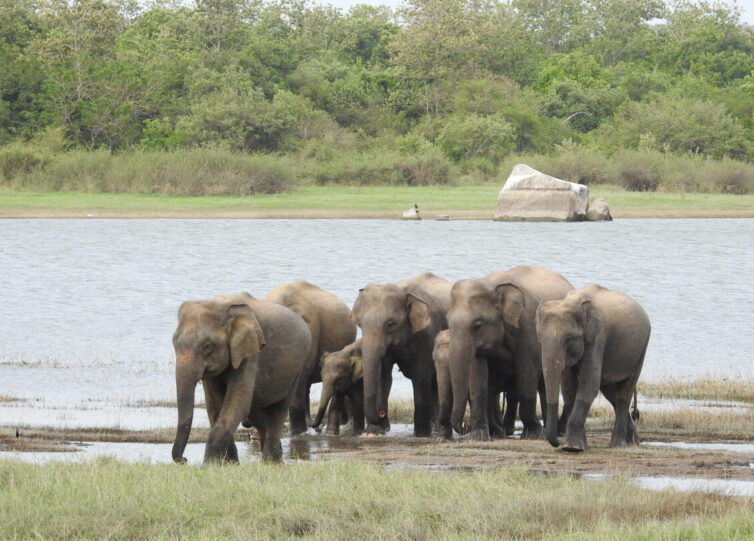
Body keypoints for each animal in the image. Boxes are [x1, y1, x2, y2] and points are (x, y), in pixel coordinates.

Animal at [172, 292, 310, 464]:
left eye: (207, 346)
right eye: (174, 342)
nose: (184, 459)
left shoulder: (250, 353)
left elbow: (237, 404)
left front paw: (209, 465)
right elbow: (216, 406)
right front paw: (229, 464)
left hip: (297, 368)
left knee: (277, 410)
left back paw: (270, 462)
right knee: (257, 413)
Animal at [350, 272, 450, 436]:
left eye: (390, 324)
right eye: (360, 324)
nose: (381, 414)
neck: (403, 291)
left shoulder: (427, 334)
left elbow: (420, 376)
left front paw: (421, 434)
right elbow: (383, 375)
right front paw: (376, 432)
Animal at [446, 264, 568, 438]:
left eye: (478, 325)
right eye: (448, 323)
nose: (465, 426)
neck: (491, 284)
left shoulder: (528, 328)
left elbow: (526, 374)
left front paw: (533, 434)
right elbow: (478, 376)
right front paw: (478, 436)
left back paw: (554, 432)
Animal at [536, 282, 652, 452]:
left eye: (568, 339)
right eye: (540, 338)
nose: (556, 442)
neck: (572, 302)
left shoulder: (598, 337)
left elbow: (589, 383)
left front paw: (572, 448)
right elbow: (569, 388)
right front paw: (578, 446)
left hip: (642, 349)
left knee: (624, 393)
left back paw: (617, 446)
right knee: (611, 394)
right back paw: (633, 442)